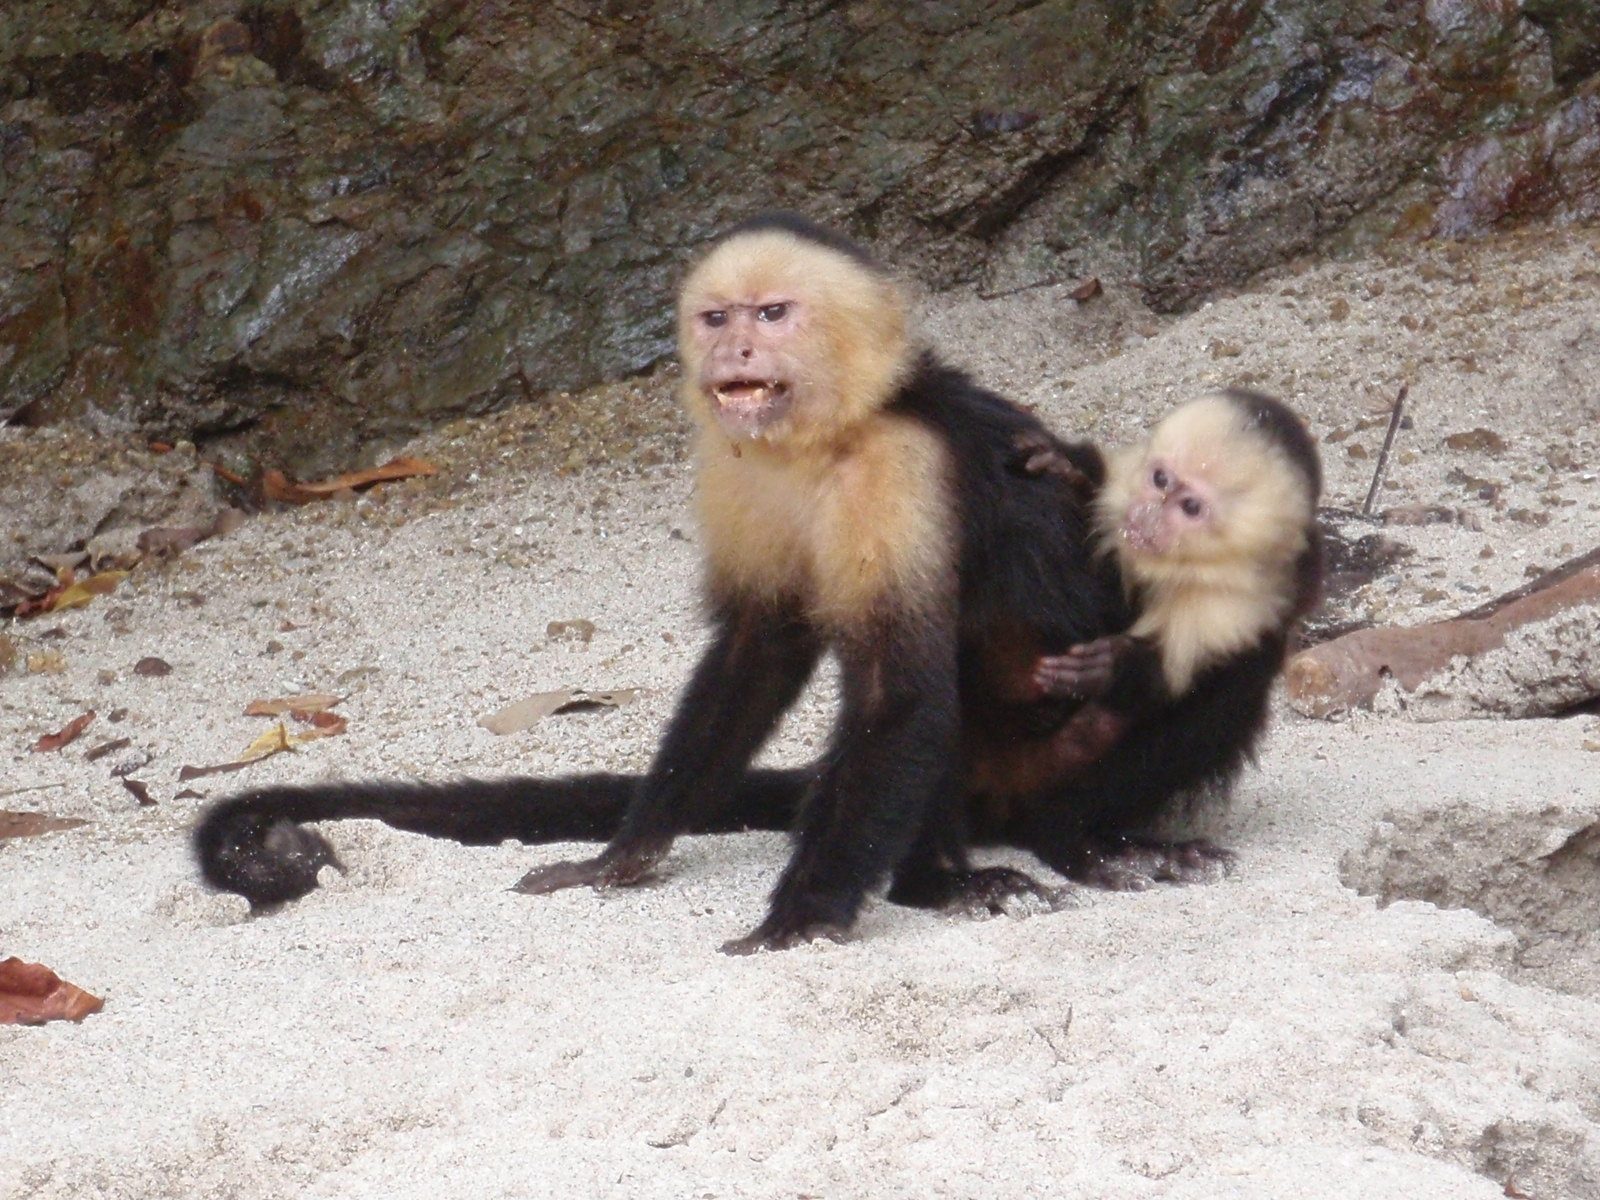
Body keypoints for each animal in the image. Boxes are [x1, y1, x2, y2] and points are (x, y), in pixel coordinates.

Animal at [195, 212, 1131, 952]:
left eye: (773, 313)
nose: (734, 348)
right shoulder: (733, 465)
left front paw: (802, 914)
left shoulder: (893, 472)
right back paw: (933, 882)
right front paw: (626, 855)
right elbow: (755, 652)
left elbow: (897, 692)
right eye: (716, 317)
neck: (823, 442)